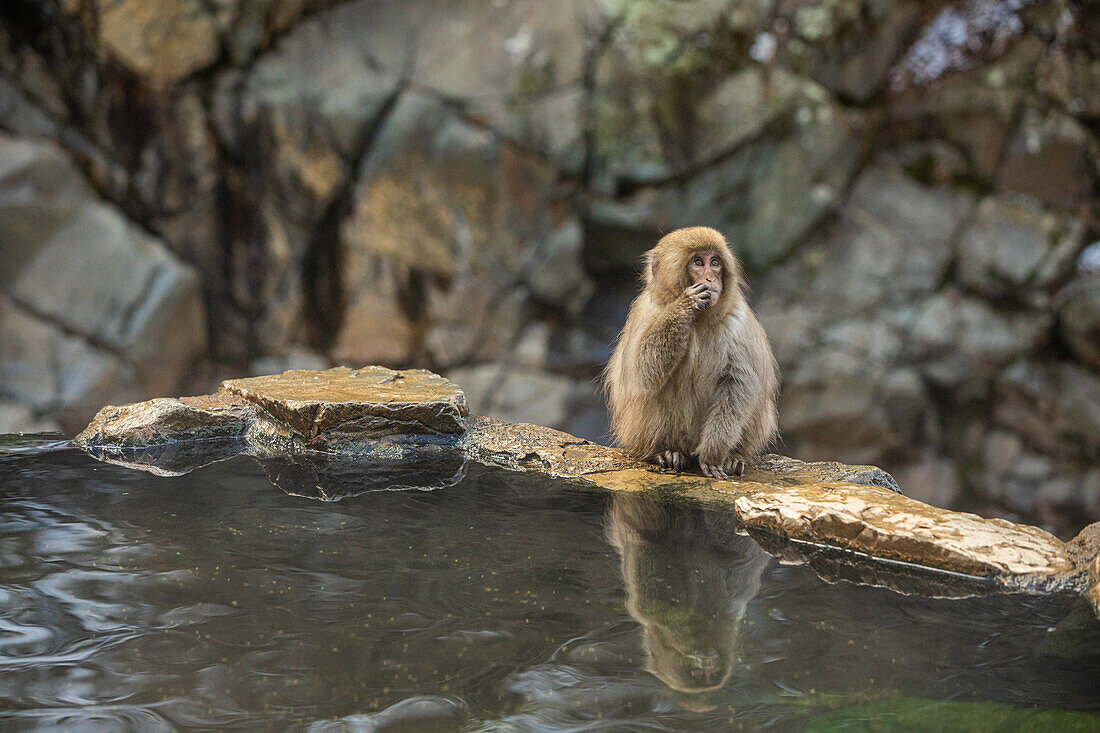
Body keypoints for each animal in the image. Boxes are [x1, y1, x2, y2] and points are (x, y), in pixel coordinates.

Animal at [602, 228, 783, 479]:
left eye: (715, 263)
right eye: (698, 262)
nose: (710, 279)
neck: (700, 319)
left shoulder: (737, 320)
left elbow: (737, 384)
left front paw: (714, 454)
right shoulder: (647, 310)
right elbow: (640, 372)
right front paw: (686, 304)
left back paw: (733, 456)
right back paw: (666, 452)